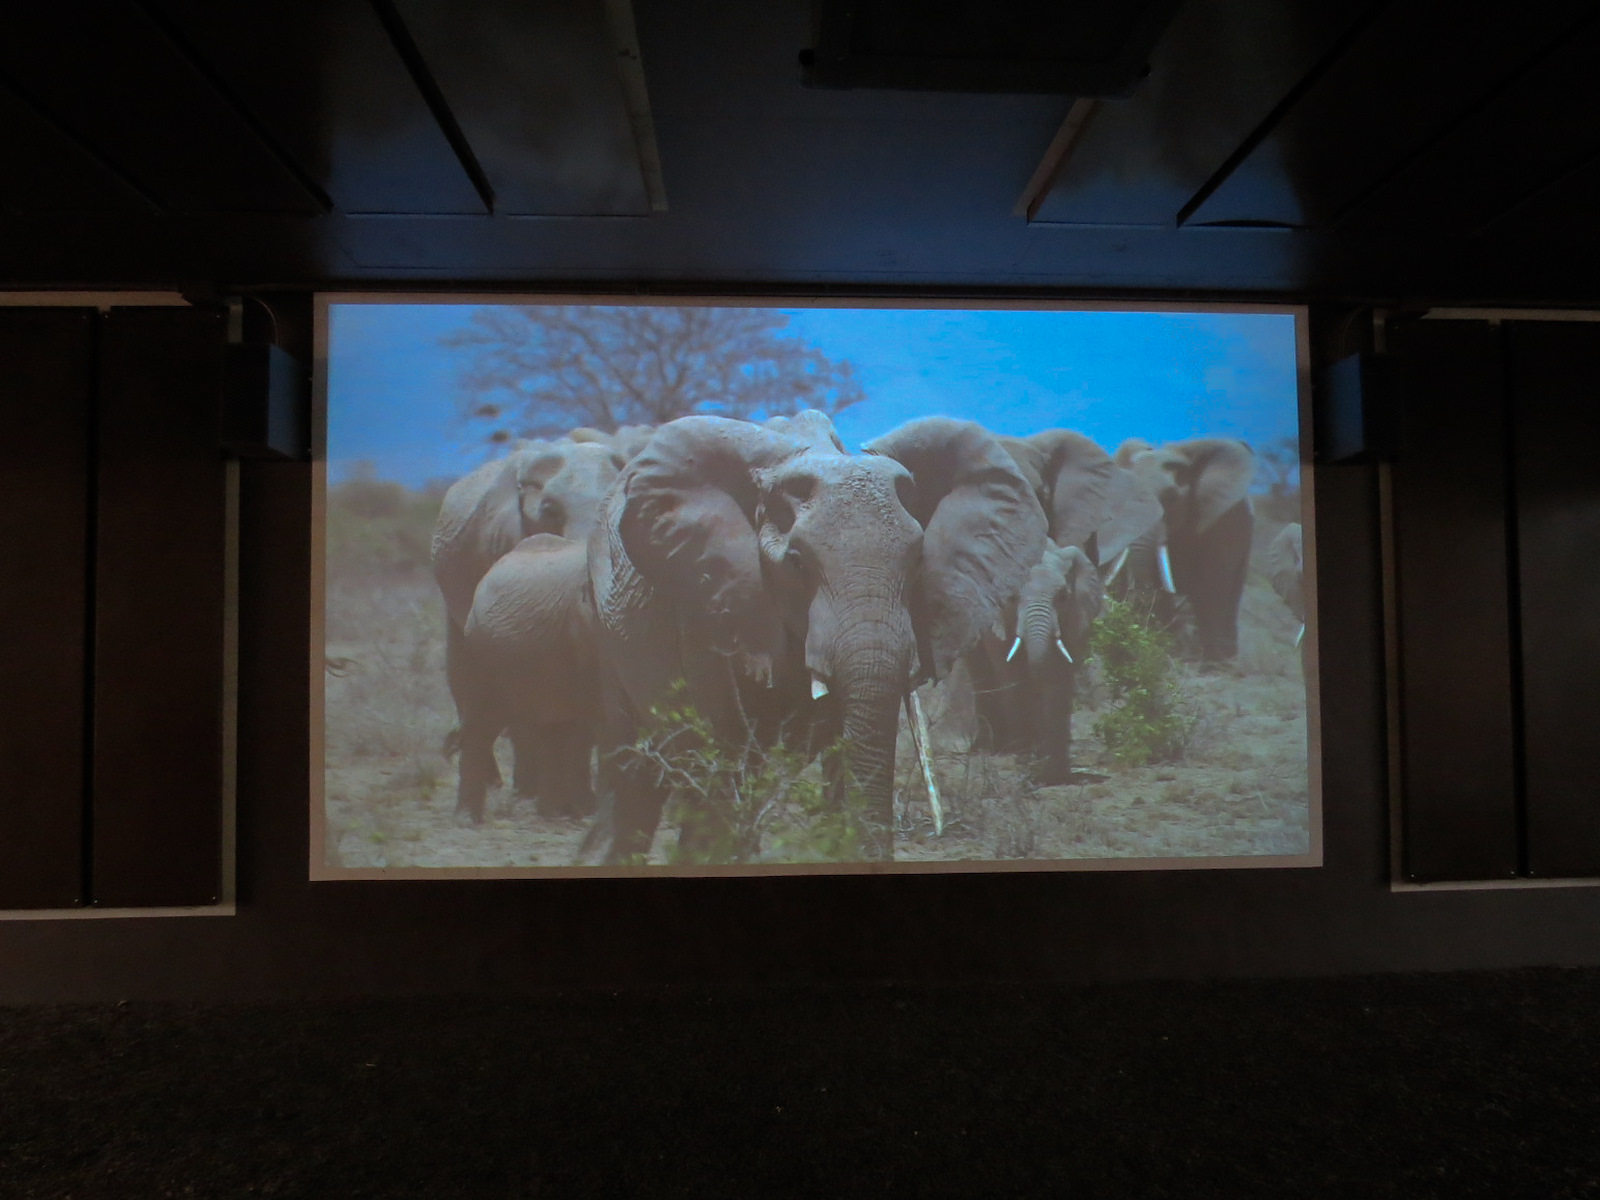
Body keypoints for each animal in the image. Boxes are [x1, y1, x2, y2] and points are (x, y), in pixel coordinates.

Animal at [580, 412, 1047, 864]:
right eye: (798, 563)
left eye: (917, 562)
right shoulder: (707, 602)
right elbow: (724, 748)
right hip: (608, 633)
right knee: (635, 768)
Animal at [966, 541, 1104, 783]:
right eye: (1012, 598)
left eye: (1063, 597)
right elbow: (1011, 673)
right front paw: (1023, 756)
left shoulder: (1077, 616)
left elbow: (1059, 676)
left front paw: (1055, 775)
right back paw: (990, 748)